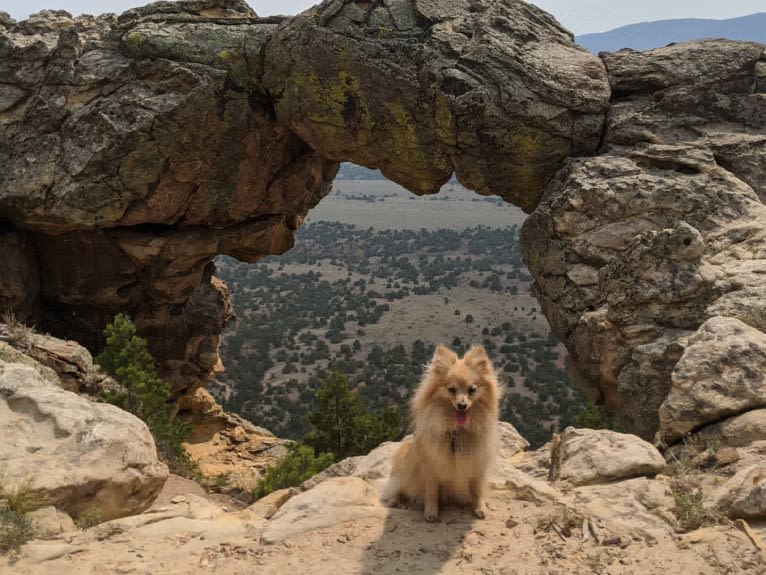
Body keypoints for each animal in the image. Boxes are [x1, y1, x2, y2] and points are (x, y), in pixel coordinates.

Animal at [384, 344, 504, 524]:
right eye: (451, 389)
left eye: (472, 390)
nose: (462, 405)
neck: (457, 432)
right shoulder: (432, 467)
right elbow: (432, 492)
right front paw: (431, 512)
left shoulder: (476, 464)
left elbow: (477, 490)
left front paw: (479, 507)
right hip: (405, 462)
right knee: (397, 488)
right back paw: (396, 500)